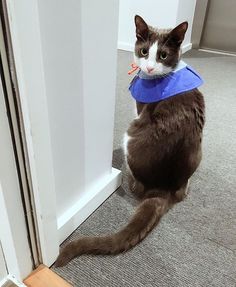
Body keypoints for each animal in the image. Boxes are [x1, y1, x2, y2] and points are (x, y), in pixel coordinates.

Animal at [54, 15, 205, 268]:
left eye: (163, 55)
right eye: (144, 51)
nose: (149, 67)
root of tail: (162, 189)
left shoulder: (140, 107)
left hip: (130, 137)